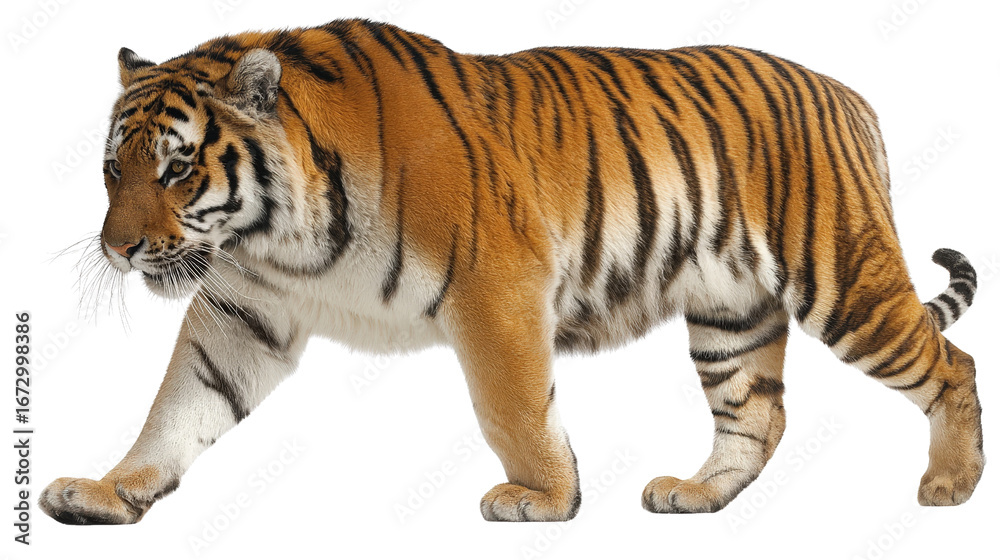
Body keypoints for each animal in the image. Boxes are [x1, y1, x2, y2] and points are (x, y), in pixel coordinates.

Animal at [40, 18, 983, 524]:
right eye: (112, 170)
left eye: (176, 170)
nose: (118, 249)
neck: (278, 233)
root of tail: (846, 94)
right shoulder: (243, 313)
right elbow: (178, 407)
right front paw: (106, 491)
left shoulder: (494, 288)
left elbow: (513, 405)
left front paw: (544, 499)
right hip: (731, 314)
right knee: (756, 416)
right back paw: (696, 495)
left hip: (844, 280)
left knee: (953, 365)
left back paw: (952, 483)